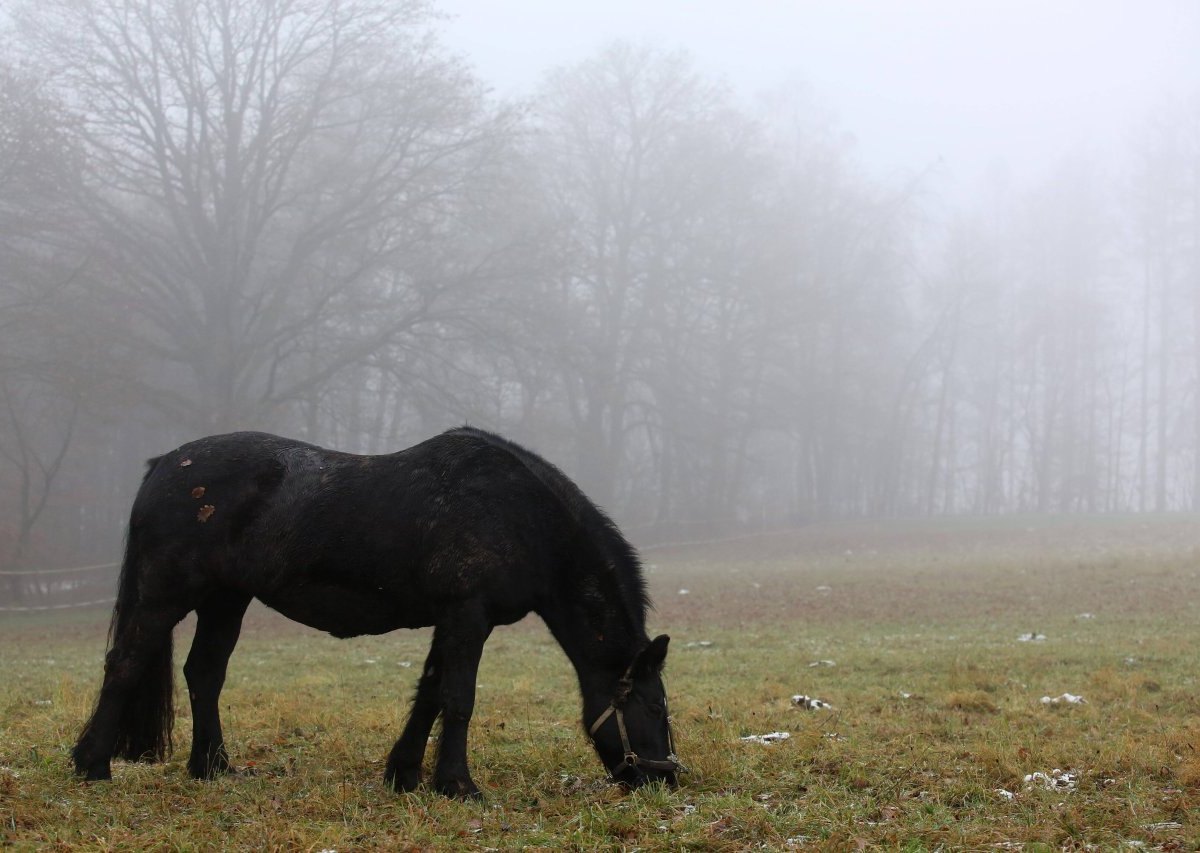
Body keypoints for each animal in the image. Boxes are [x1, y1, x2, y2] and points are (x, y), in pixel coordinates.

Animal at [70, 429, 681, 796]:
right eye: (653, 706)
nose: (666, 779)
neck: (519, 515)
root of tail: (165, 465)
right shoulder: (468, 616)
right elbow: (458, 699)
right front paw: (458, 786)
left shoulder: (451, 620)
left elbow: (429, 693)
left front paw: (405, 773)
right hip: (164, 596)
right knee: (125, 665)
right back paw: (93, 765)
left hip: (226, 600)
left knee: (204, 674)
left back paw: (212, 767)